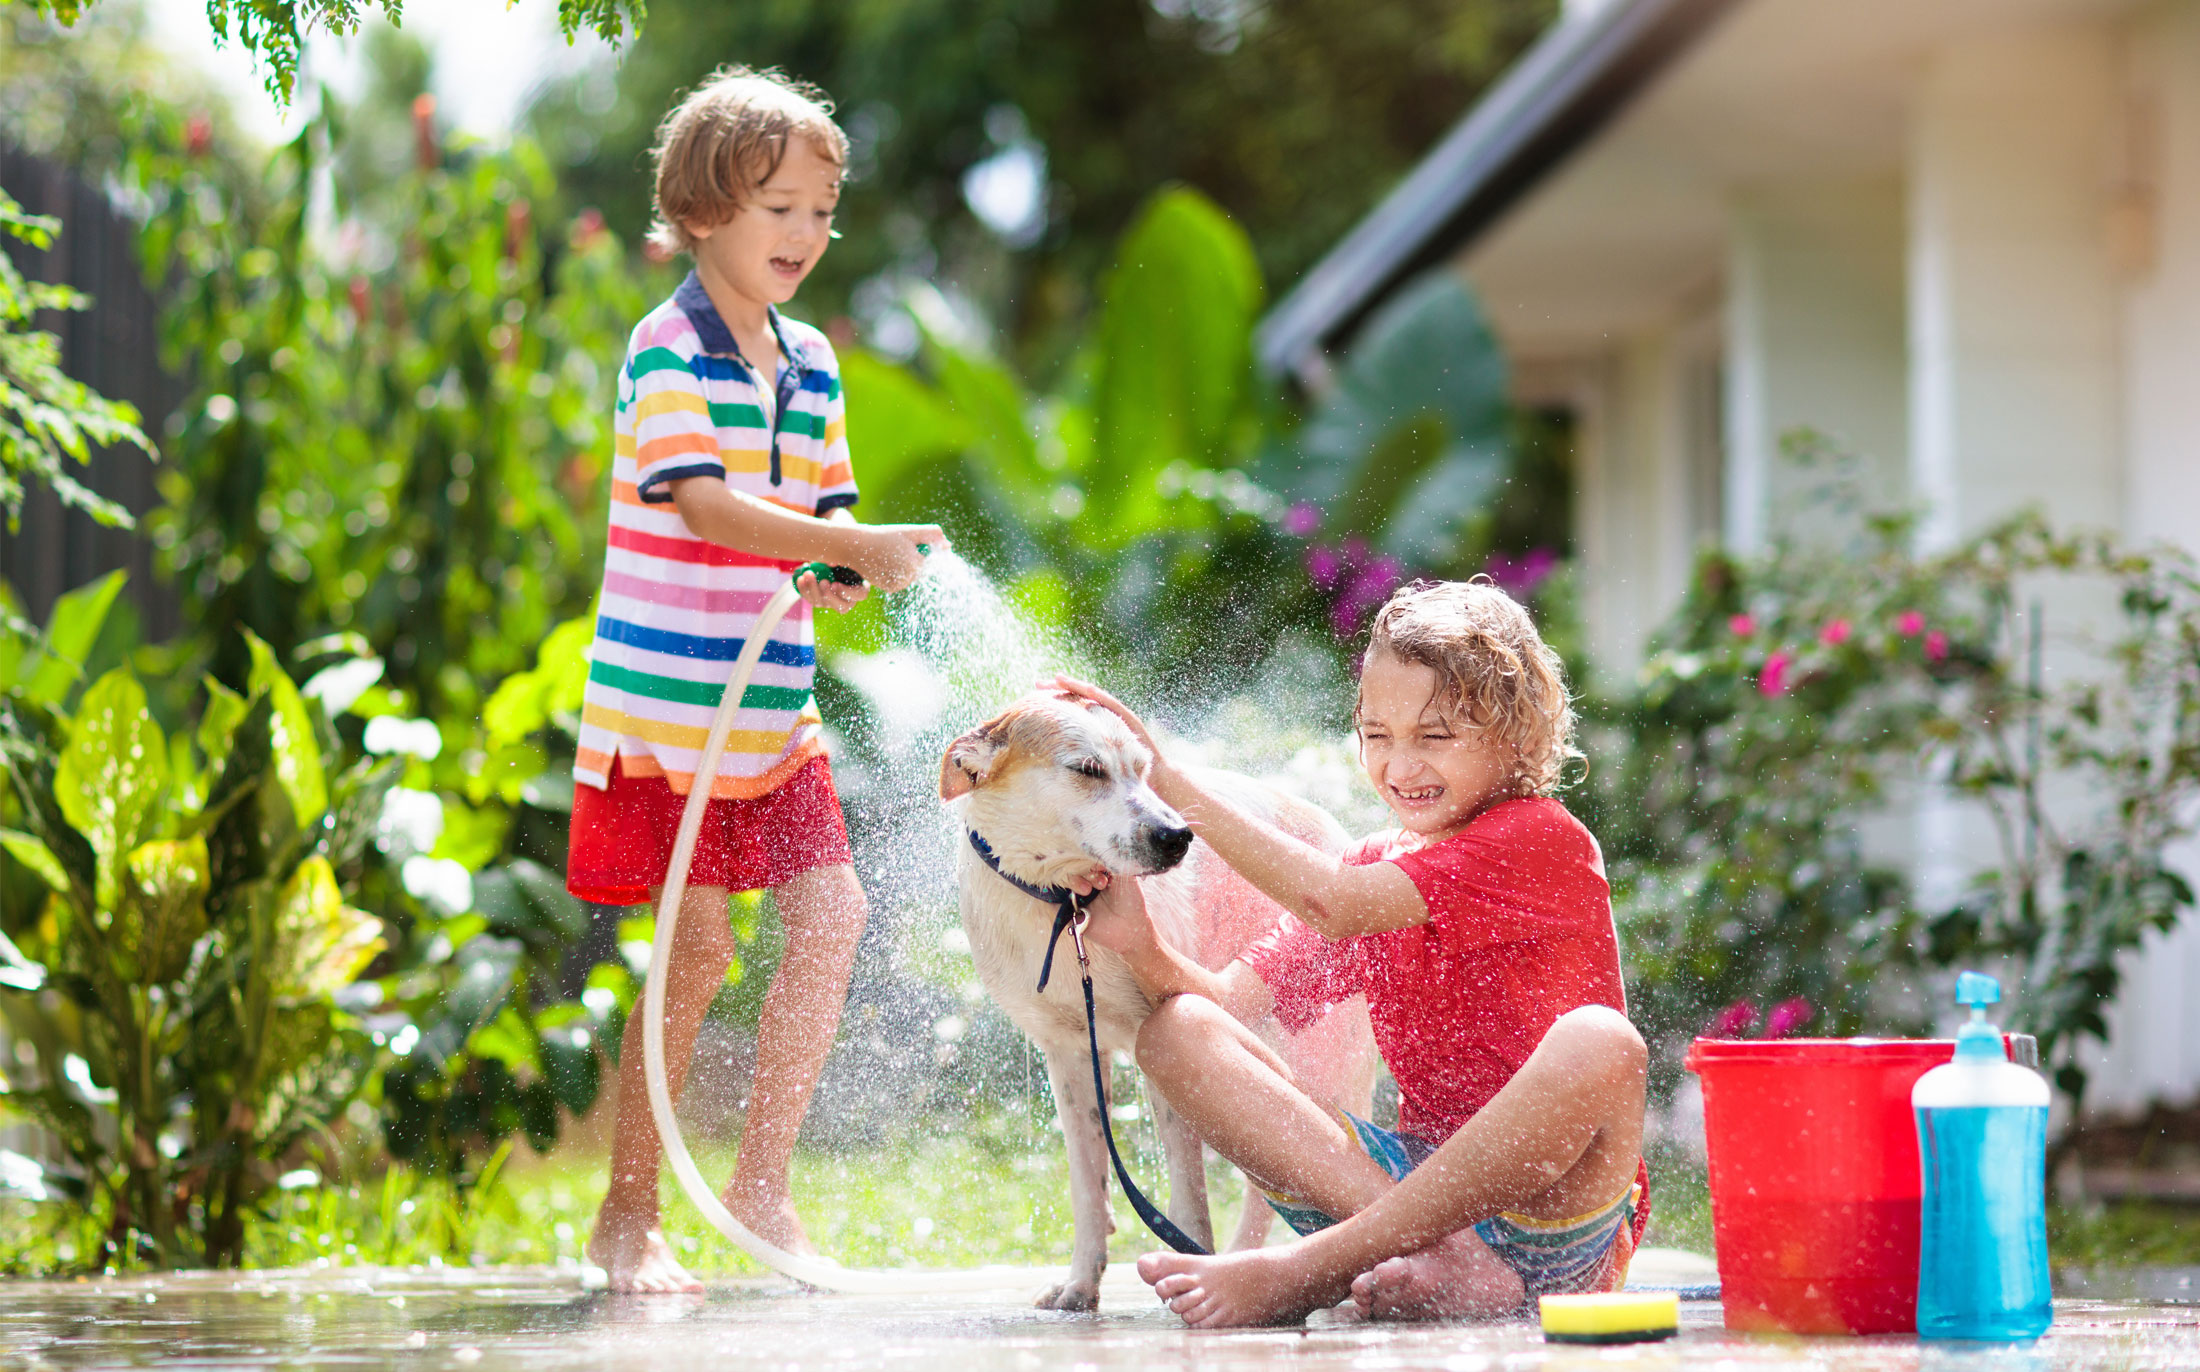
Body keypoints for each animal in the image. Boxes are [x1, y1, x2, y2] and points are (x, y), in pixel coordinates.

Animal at [941, 690, 1372, 1310]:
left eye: (1143, 771)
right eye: (1088, 769)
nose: (1178, 835)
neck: (1062, 905)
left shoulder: (1158, 1033)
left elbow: (1187, 1188)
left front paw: (1193, 1262)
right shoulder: (1069, 1053)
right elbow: (1088, 1184)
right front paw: (1081, 1282)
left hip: (1320, 1066)